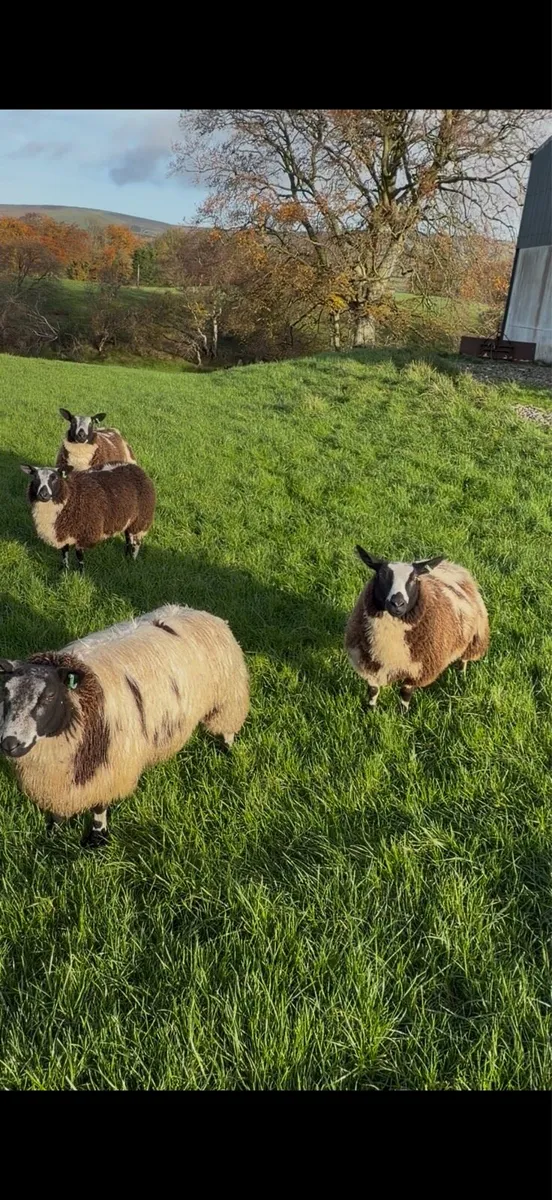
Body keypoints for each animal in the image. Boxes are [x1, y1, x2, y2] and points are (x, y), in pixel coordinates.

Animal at [0, 604, 250, 848]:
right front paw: (53, 830)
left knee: (228, 726)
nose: (9, 743)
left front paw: (97, 838)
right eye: (5, 692)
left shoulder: (110, 767)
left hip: (227, 698)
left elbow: (99, 806)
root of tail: (198, 611)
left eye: (50, 695)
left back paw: (226, 750)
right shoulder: (58, 777)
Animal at [21, 461, 156, 572]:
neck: (70, 497)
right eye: (35, 478)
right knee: (128, 540)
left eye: (55, 478)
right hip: (129, 520)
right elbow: (64, 553)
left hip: (140, 520)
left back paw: (132, 560)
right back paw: (125, 558)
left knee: (135, 543)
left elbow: (80, 557)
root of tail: (133, 466)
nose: (43, 495)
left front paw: (81, 575)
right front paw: (64, 571)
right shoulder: (63, 531)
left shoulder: (84, 533)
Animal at [345, 547, 490, 712]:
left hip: (474, 638)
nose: (397, 603)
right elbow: (373, 690)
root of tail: (451, 565)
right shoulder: (369, 662)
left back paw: (461, 677)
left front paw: (402, 714)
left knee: (464, 660)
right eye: (381, 575)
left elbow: (405, 693)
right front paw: (371, 710)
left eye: (414, 578)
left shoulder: (418, 668)